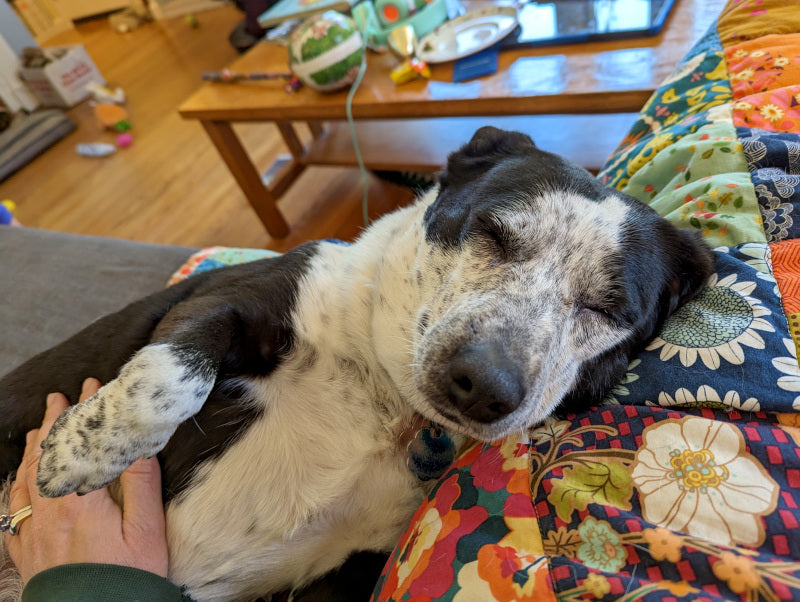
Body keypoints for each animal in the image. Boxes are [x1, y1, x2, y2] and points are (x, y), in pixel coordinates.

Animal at [0, 125, 712, 596]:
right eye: (491, 231)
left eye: (609, 309)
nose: (484, 384)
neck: (379, 392)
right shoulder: (223, 302)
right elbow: (173, 378)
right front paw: (78, 455)